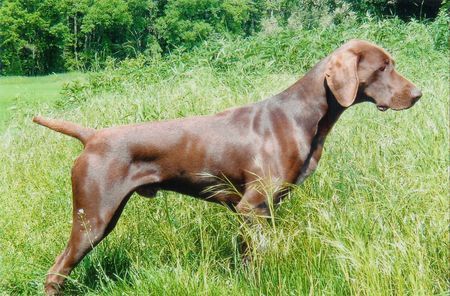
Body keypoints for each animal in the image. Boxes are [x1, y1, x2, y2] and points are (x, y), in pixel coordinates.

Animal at [35, 39, 422, 294]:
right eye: (383, 67)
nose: (418, 94)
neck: (303, 115)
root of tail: (93, 135)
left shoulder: (266, 208)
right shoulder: (252, 205)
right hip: (93, 217)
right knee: (55, 272)